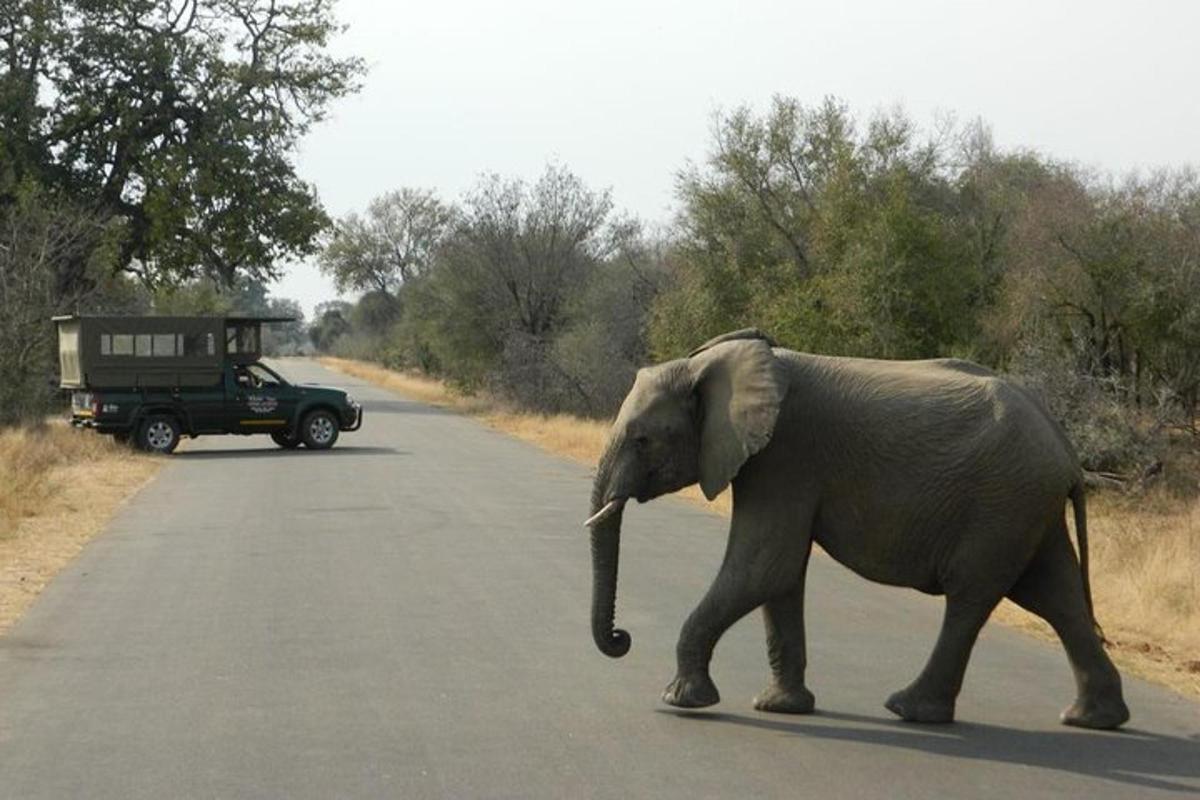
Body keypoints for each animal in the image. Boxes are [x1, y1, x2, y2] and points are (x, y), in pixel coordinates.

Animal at [585, 328, 1128, 729]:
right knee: (1053, 593)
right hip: (1027, 506)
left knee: (972, 596)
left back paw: (910, 709)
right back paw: (1093, 719)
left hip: (1003, 501)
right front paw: (781, 707)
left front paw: (682, 701)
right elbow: (780, 576)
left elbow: (765, 564)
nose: (622, 637)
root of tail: (1065, 447)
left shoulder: (786, 455)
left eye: (641, 440)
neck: (710, 363)